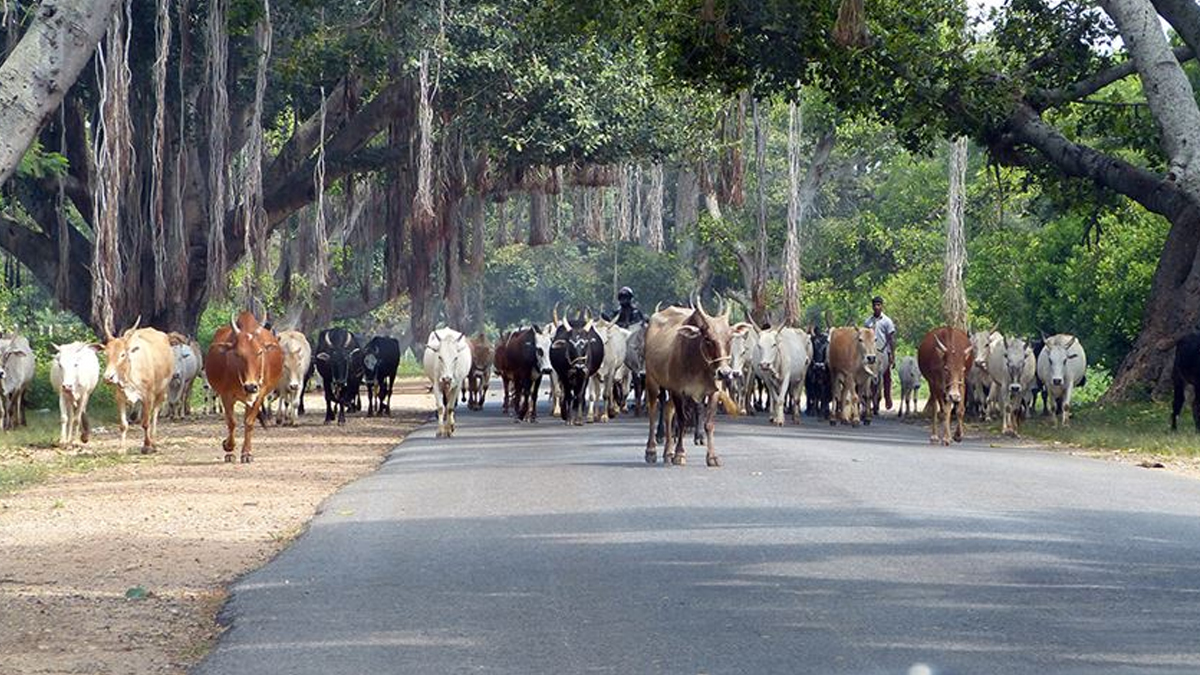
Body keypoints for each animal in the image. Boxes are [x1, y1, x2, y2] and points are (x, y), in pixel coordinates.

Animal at [102, 319, 175, 451]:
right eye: (106, 354)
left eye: (123, 354)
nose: (108, 377)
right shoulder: (119, 397)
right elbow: (123, 425)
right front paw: (122, 448)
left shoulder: (148, 397)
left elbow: (146, 423)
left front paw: (147, 446)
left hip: (162, 391)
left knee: (154, 415)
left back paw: (153, 442)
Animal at [205, 312, 284, 461]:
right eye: (238, 354)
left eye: (259, 352)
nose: (250, 386)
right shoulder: (226, 395)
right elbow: (231, 422)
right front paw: (228, 447)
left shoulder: (259, 394)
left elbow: (249, 422)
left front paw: (247, 453)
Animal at [643, 296, 744, 466]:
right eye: (708, 339)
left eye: (730, 339)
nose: (724, 373)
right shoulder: (679, 390)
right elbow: (682, 421)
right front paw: (680, 454)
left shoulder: (713, 392)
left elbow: (708, 423)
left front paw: (712, 457)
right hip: (652, 381)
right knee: (652, 412)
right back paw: (651, 451)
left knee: (668, 411)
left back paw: (668, 452)